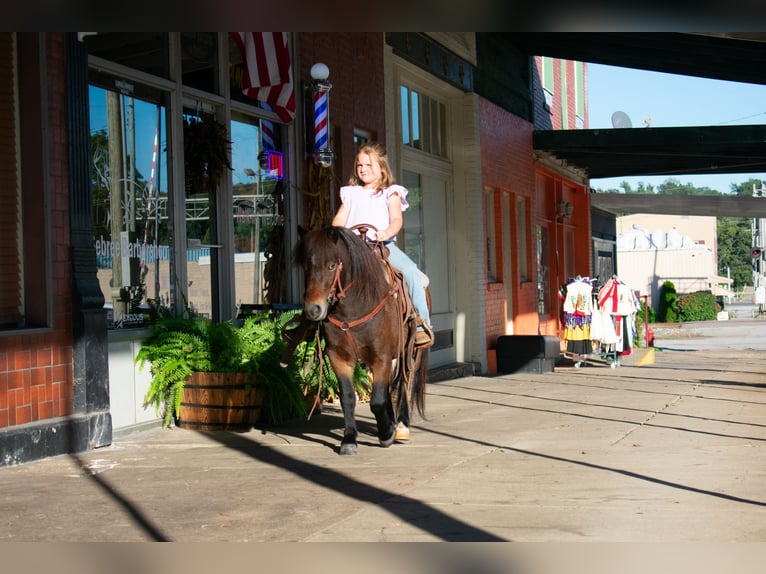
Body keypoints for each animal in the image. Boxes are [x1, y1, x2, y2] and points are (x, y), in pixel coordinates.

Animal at [294, 227, 428, 456]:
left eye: (331, 265)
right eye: (306, 266)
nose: (313, 310)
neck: (354, 307)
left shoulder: (381, 357)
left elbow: (377, 401)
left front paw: (386, 434)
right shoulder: (339, 357)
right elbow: (349, 398)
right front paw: (349, 440)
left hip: (410, 354)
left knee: (404, 386)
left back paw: (401, 426)